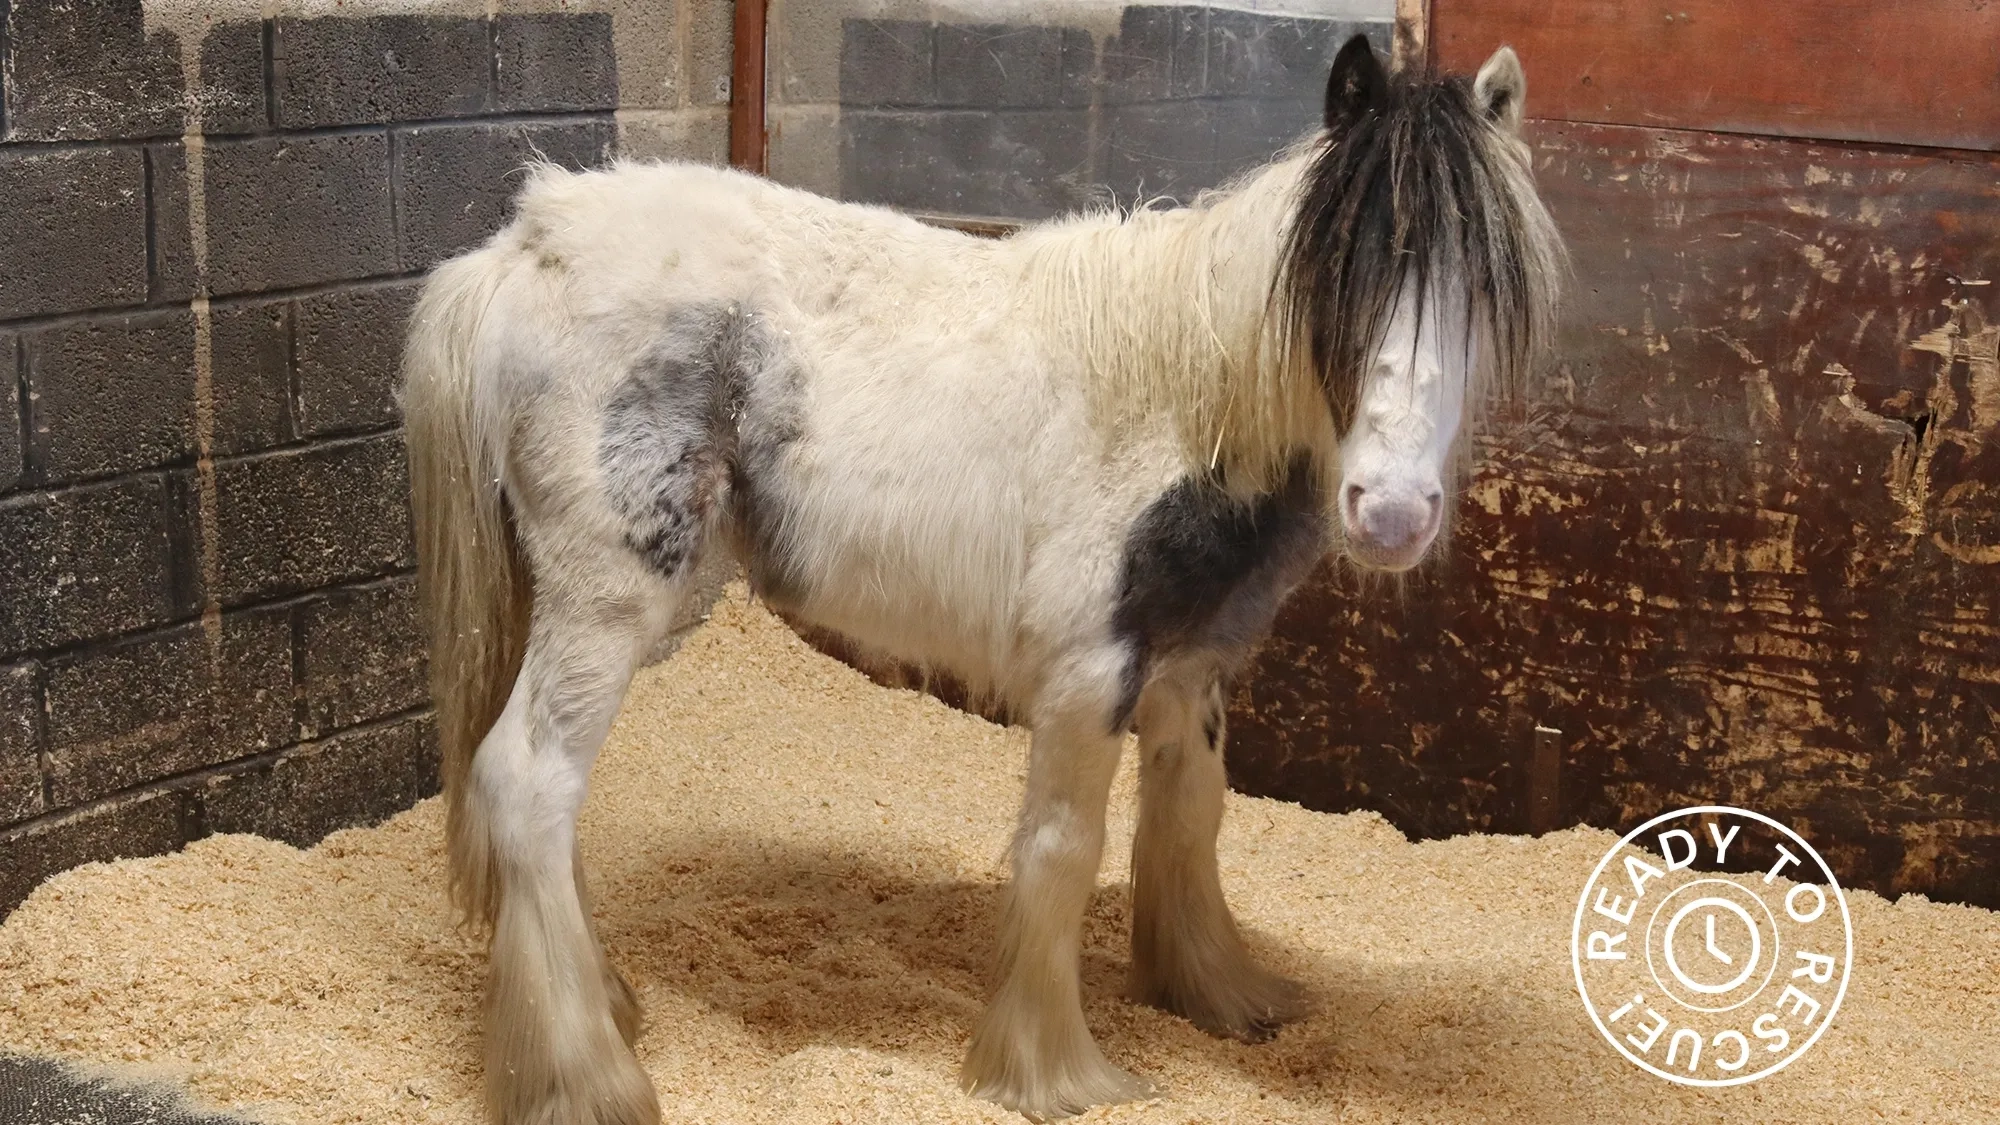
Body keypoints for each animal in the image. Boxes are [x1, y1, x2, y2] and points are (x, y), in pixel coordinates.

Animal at [401, 34, 1562, 1125]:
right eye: (1339, 277)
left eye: (1482, 289)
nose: (1393, 511)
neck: (1183, 399)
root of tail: (524, 247)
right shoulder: (1089, 675)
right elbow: (1061, 850)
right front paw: (1052, 1070)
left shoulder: (1189, 667)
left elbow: (1191, 815)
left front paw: (1217, 993)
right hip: (608, 601)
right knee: (528, 783)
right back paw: (585, 1077)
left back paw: (603, 1009)